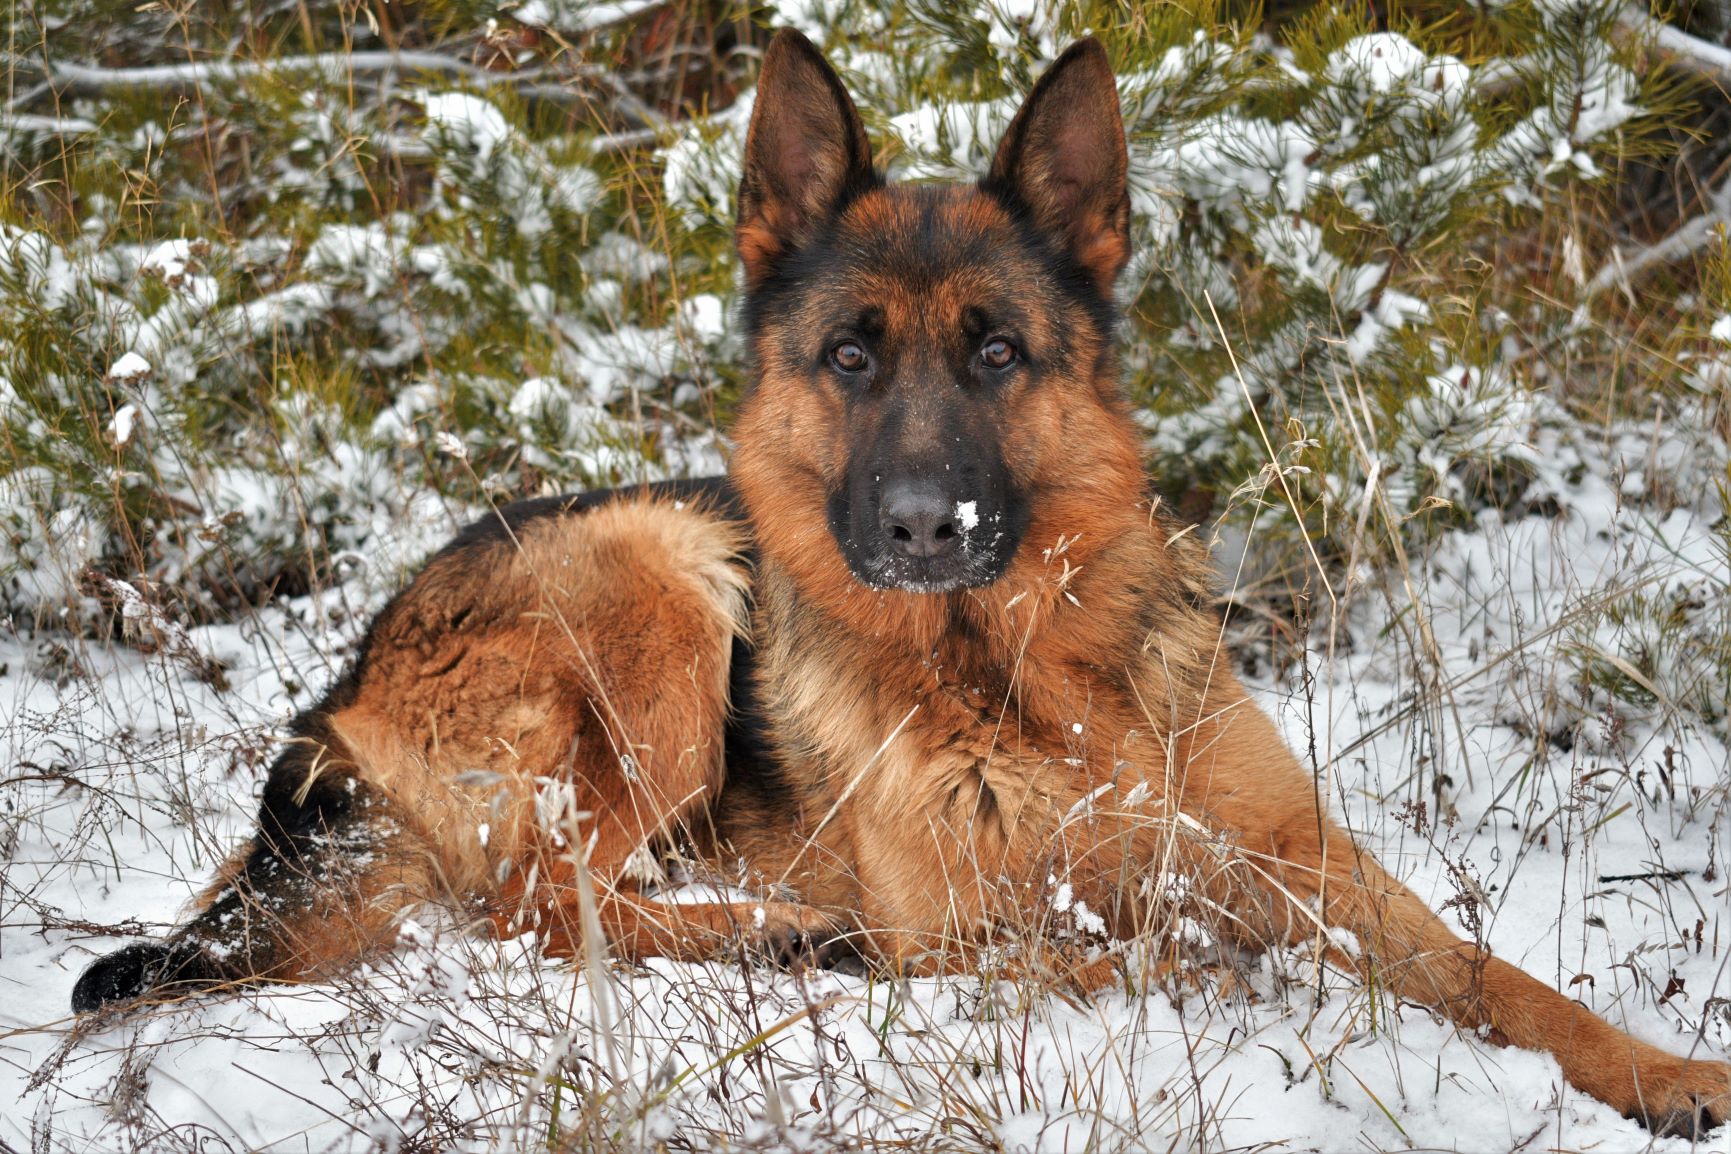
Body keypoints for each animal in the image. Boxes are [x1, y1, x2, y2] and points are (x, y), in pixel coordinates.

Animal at [74, 31, 1731, 1141]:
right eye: (850, 357)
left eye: (995, 350)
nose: (927, 527)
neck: (1028, 673)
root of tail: (343, 692)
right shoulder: (977, 932)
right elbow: (1150, 948)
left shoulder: (1309, 863)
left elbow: (1493, 973)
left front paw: (1660, 1071)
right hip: (662, 582)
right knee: (541, 906)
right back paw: (774, 930)